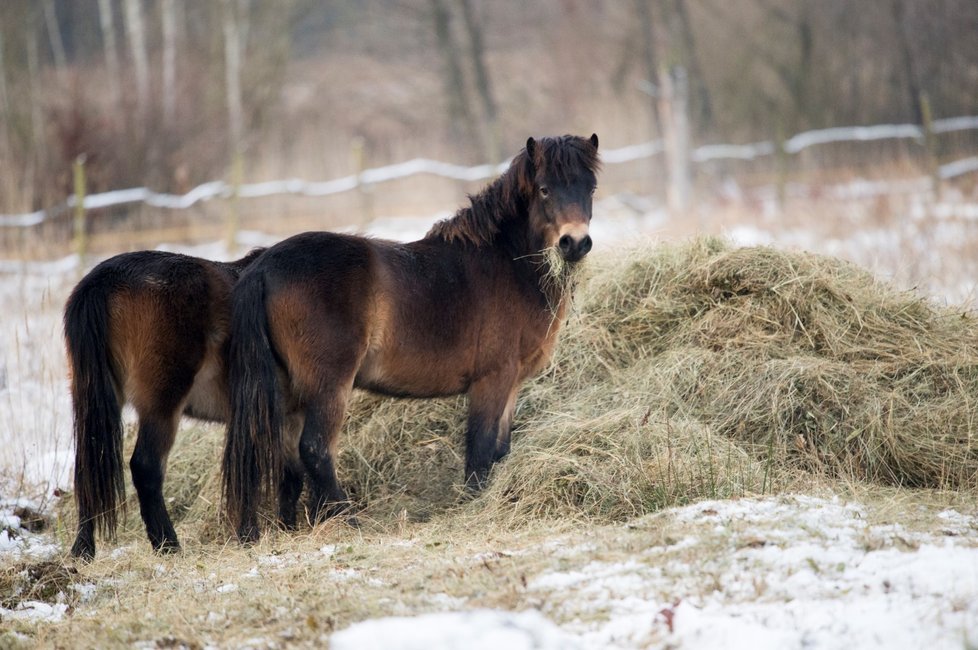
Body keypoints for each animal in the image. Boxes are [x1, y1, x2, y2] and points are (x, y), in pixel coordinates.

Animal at [66, 248, 302, 556]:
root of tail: (102, 279)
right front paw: (255, 535)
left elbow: (285, 474)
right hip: (162, 404)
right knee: (145, 467)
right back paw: (168, 544)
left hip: (93, 400)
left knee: (88, 469)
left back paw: (83, 549)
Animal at [224, 134, 600, 540]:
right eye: (545, 189)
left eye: (590, 188)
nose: (574, 243)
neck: (506, 263)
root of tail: (264, 265)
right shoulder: (492, 380)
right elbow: (481, 451)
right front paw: (473, 505)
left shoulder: (512, 383)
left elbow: (500, 450)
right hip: (328, 386)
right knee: (315, 449)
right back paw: (348, 520)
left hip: (289, 393)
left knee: (288, 458)